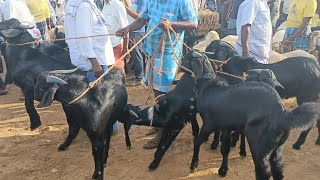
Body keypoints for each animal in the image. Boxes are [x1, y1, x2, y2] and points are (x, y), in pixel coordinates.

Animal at [180, 50, 320, 179]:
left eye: (187, 59)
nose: (180, 65)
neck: (208, 85)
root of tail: (281, 112)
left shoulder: (209, 123)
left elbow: (198, 141)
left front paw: (194, 165)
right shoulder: (226, 126)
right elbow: (225, 148)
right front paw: (223, 170)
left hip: (259, 143)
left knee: (263, 171)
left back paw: (299, 144)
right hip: (277, 146)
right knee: (278, 169)